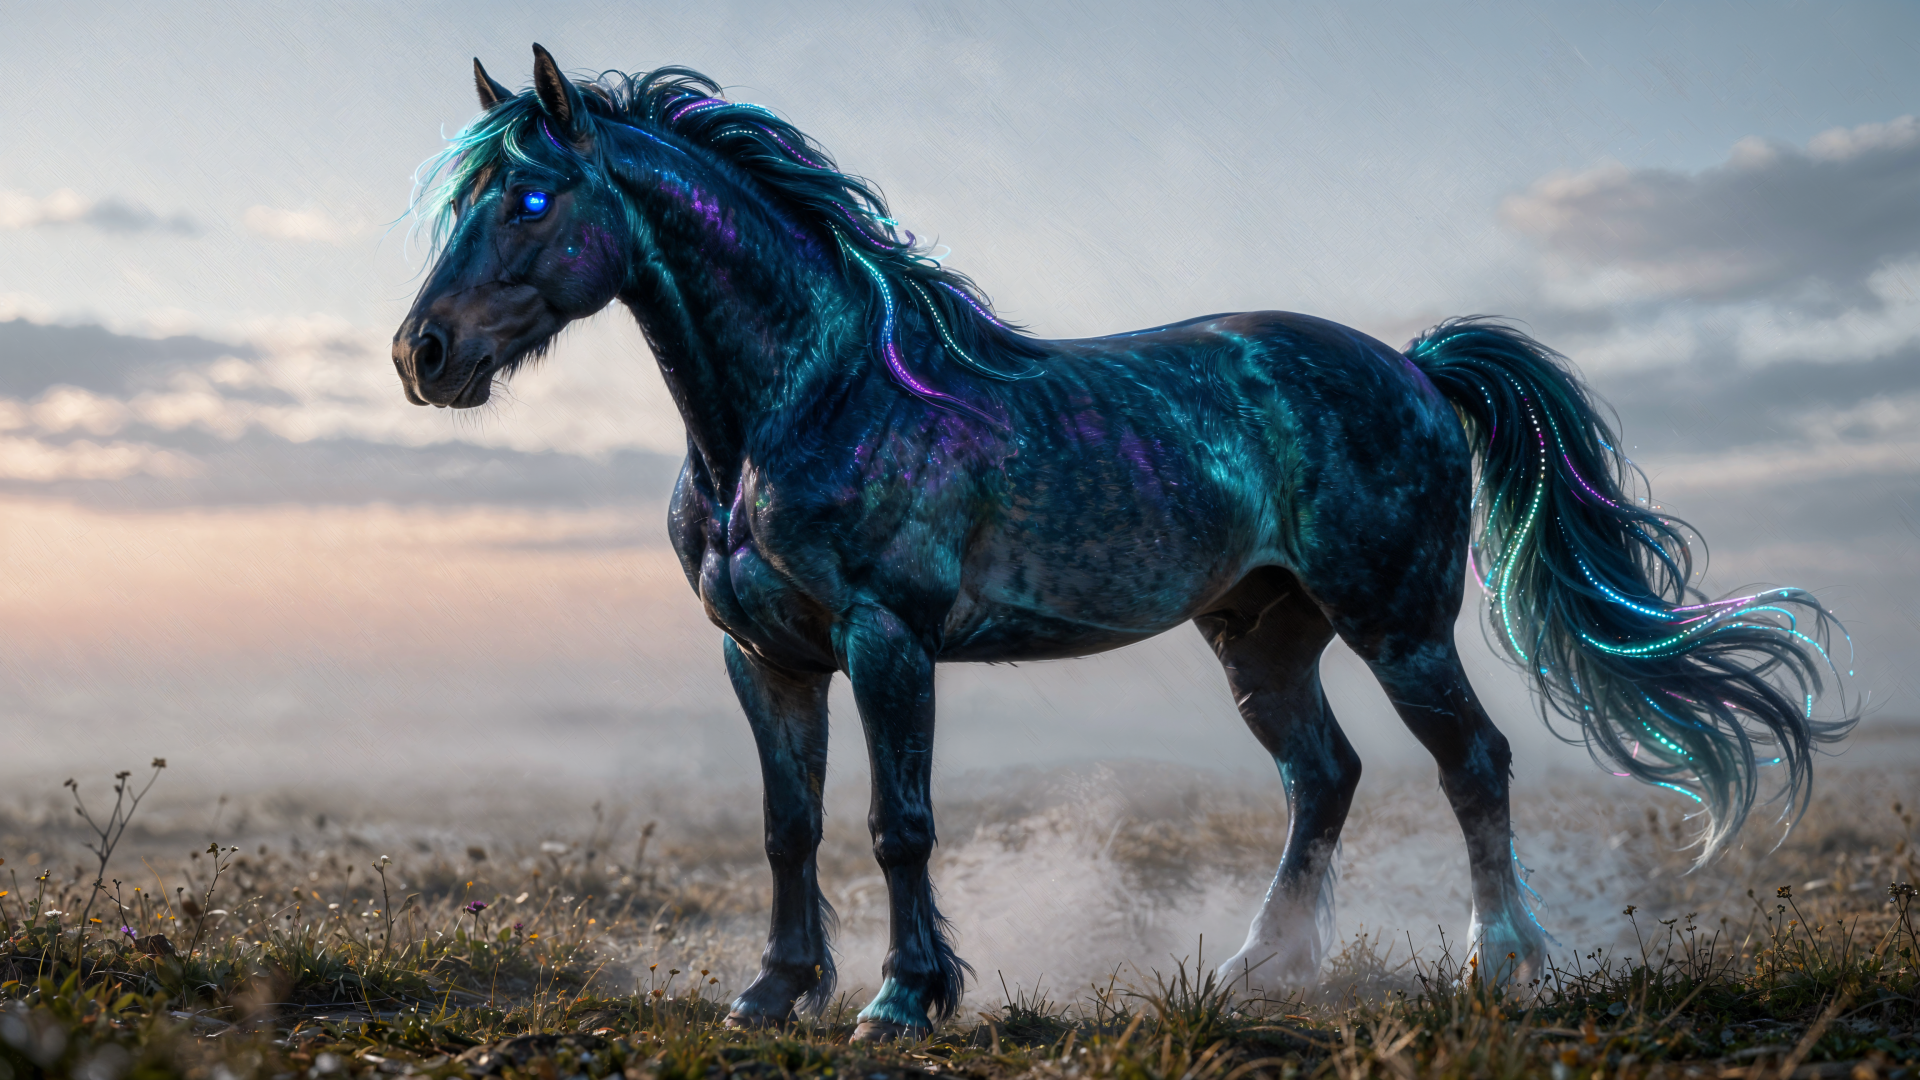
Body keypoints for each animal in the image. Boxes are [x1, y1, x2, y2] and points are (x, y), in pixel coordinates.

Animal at [391, 46, 1851, 1041]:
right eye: (468, 202)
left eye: (530, 202)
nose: (423, 356)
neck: (799, 405)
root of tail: (1416, 365)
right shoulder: (767, 657)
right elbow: (785, 825)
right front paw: (774, 990)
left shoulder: (885, 641)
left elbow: (897, 823)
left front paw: (904, 1000)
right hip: (1262, 635)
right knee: (1322, 778)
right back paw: (1263, 970)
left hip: (1396, 623)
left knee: (1471, 762)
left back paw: (1502, 961)